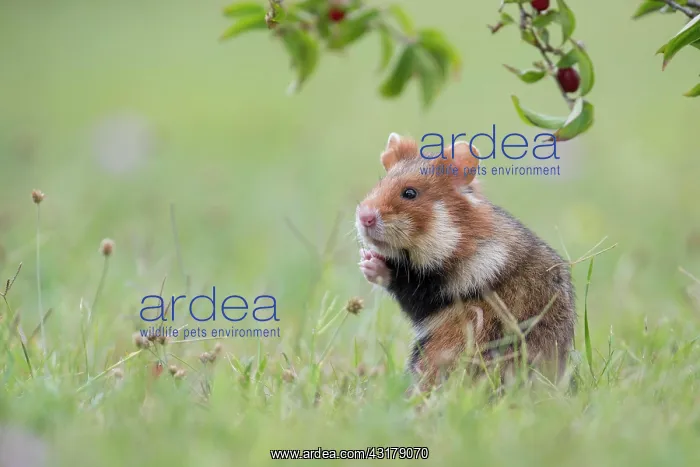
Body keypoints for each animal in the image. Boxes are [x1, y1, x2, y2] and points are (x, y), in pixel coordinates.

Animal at [355, 132, 576, 388]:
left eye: (410, 193)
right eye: (379, 184)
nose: (364, 217)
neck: (458, 236)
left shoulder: (449, 285)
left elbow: (409, 287)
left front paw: (371, 263)